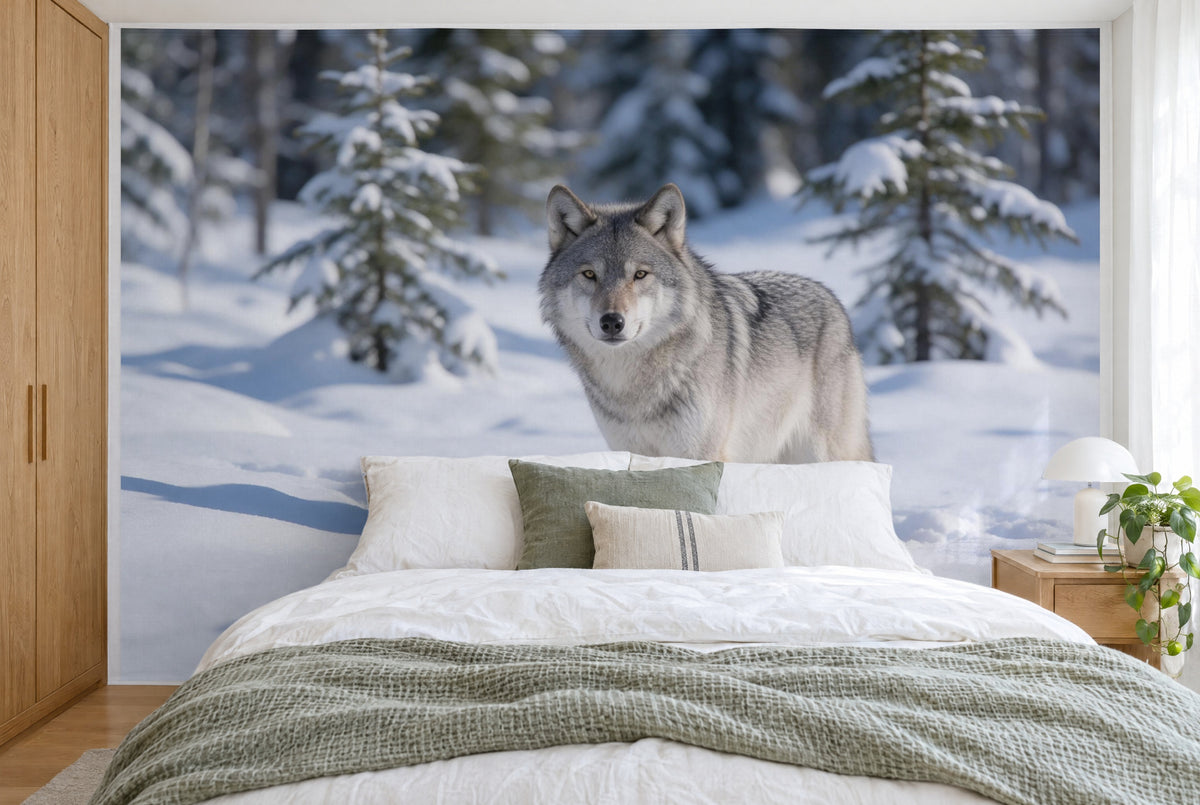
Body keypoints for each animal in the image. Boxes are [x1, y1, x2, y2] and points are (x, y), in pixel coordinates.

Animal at [538, 183, 874, 464]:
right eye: (589, 275)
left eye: (640, 275)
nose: (611, 322)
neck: (632, 389)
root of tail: (831, 298)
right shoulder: (631, 450)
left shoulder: (699, 453)